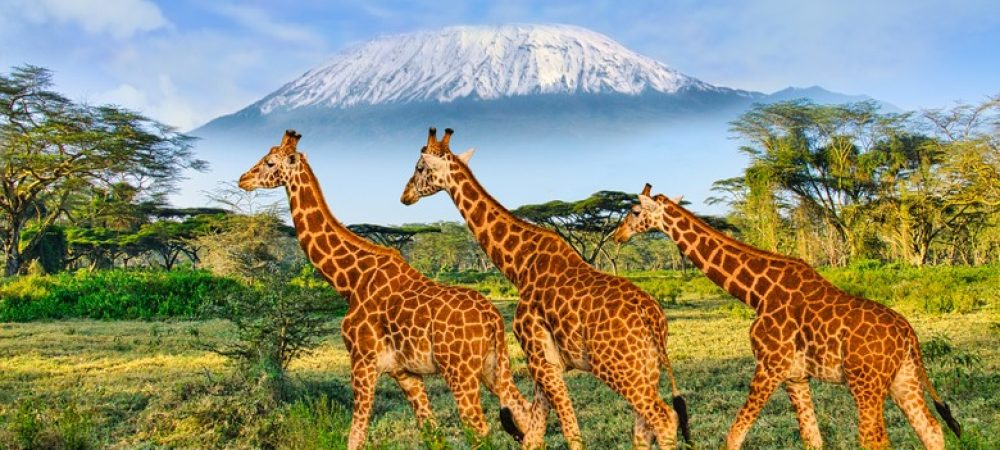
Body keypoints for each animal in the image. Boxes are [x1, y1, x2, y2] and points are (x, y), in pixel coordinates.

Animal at [238, 130, 539, 450]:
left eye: (269, 162)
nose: (243, 179)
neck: (350, 281)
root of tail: (492, 318)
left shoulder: (363, 363)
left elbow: (356, 436)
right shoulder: (405, 372)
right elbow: (431, 433)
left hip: (460, 372)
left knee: (481, 431)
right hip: (494, 367)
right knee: (525, 416)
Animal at [400, 128, 691, 449]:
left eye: (419, 167)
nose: (405, 196)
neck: (520, 266)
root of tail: (653, 317)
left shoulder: (540, 359)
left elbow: (570, 432)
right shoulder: (543, 361)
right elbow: (534, 433)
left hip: (618, 367)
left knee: (664, 418)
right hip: (647, 366)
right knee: (644, 427)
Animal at [613, 183, 962, 450]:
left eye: (635, 212)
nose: (617, 235)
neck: (757, 292)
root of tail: (908, 334)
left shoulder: (769, 366)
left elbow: (734, 435)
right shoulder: (795, 376)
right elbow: (813, 439)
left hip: (867, 383)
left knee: (875, 440)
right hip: (904, 378)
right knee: (932, 429)